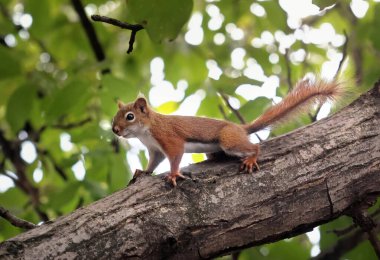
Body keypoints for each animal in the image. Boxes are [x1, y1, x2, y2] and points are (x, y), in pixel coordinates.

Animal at [112, 80, 342, 186]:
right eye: (115, 116)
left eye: (130, 116)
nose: (115, 130)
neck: (146, 131)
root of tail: (240, 128)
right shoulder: (155, 149)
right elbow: (153, 163)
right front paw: (143, 172)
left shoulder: (168, 138)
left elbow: (175, 155)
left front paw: (174, 174)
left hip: (229, 140)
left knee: (254, 146)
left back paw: (251, 158)